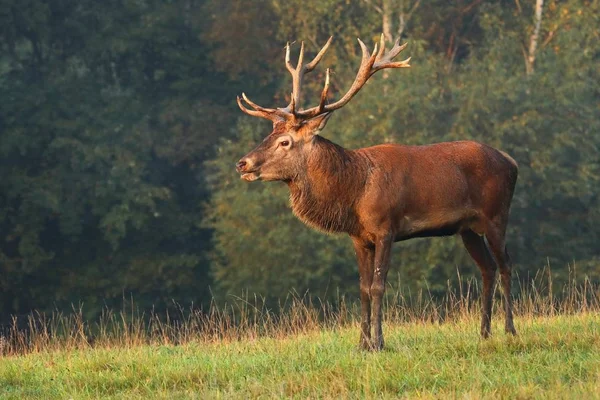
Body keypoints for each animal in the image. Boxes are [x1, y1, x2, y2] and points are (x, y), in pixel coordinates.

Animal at [237, 35, 516, 350]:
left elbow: (378, 286)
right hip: (467, 228)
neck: (354, 193)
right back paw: (484, 332)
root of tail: (511, 161)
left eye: (284, 141)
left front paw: (379, 342)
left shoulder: (386, 228)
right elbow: (362, 289)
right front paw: (362, 344)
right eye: (268, 135)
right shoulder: (359, 237)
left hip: (496, 215)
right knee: (487, 268)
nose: (242, 163)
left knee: (505, 265)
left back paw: (509, 329)